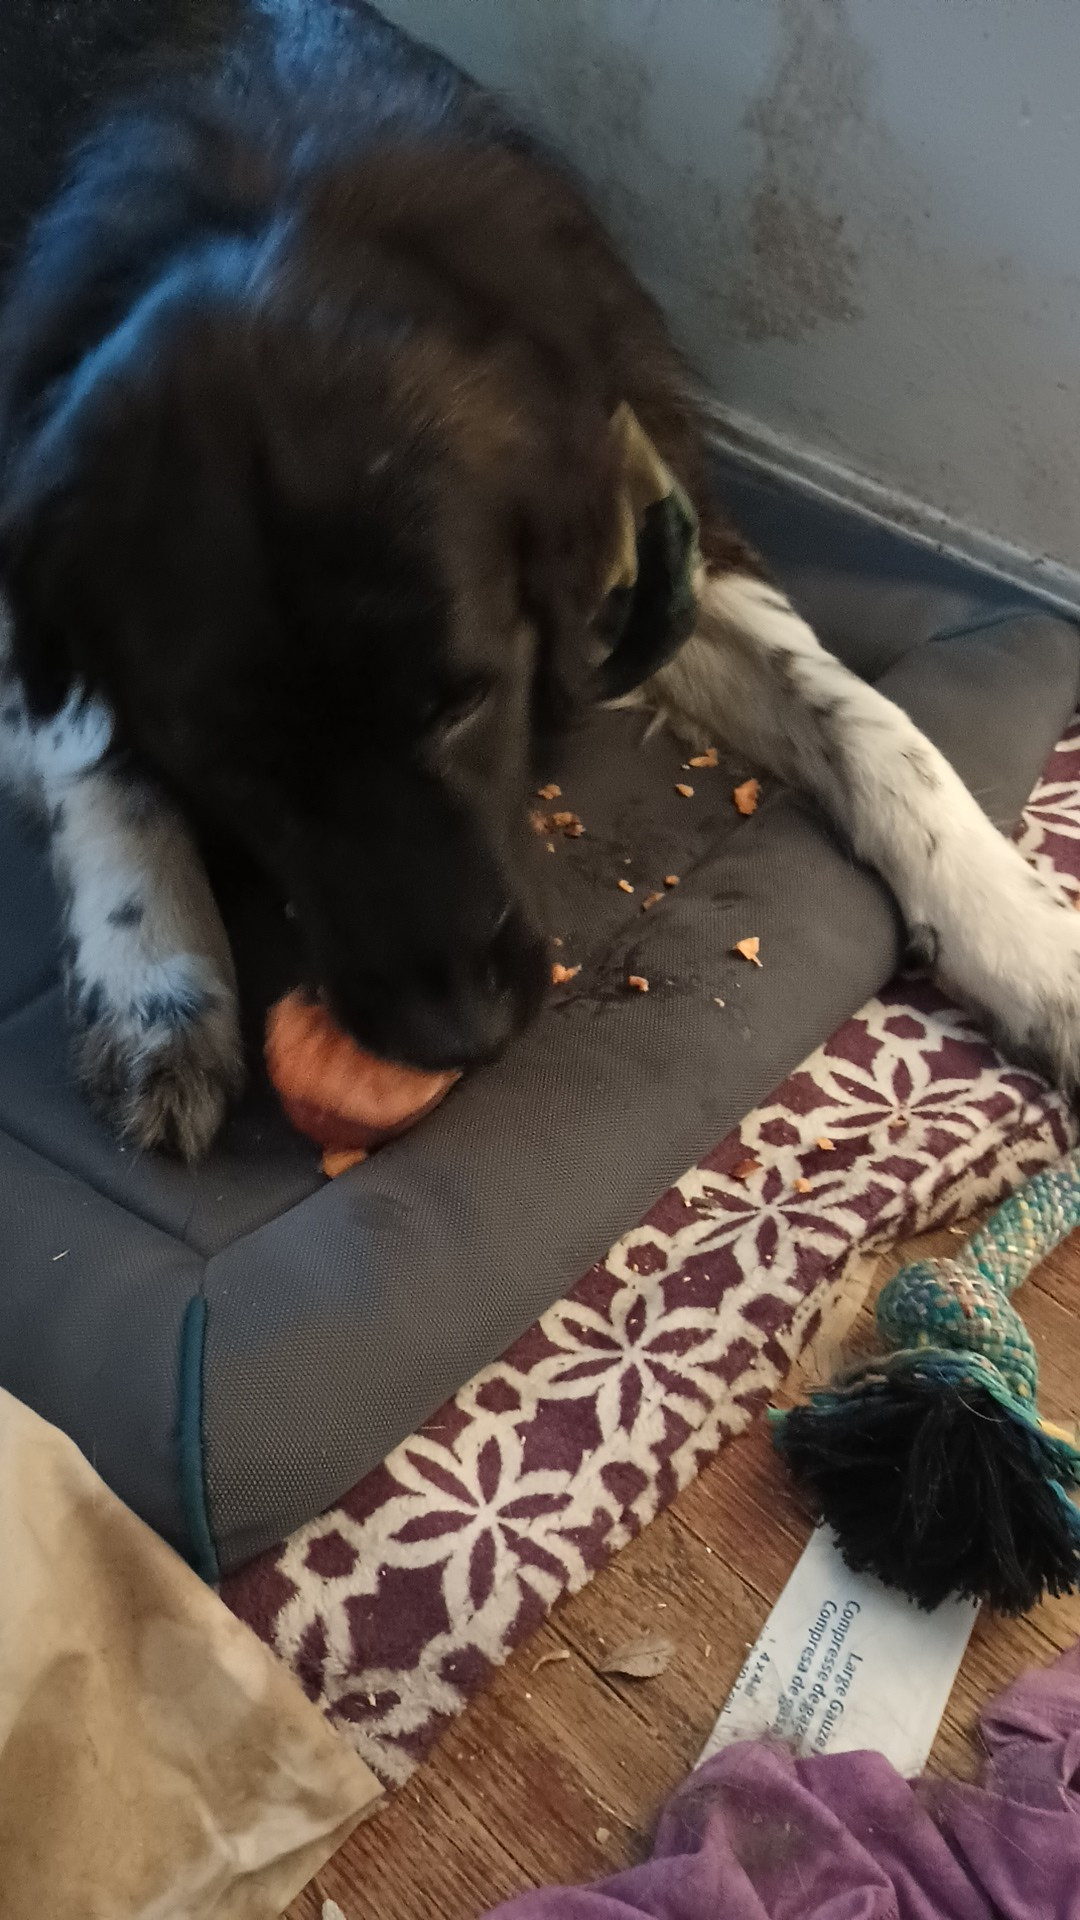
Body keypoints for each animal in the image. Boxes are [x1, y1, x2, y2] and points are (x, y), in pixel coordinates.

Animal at [2, 0, 1076, 1152]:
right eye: (232, 760)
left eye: (465, 701)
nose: (456, 1036)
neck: (280, 204)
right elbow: (94, 759)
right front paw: (152, 973)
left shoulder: (665, 538)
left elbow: (872, 726)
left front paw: (1026, 939)